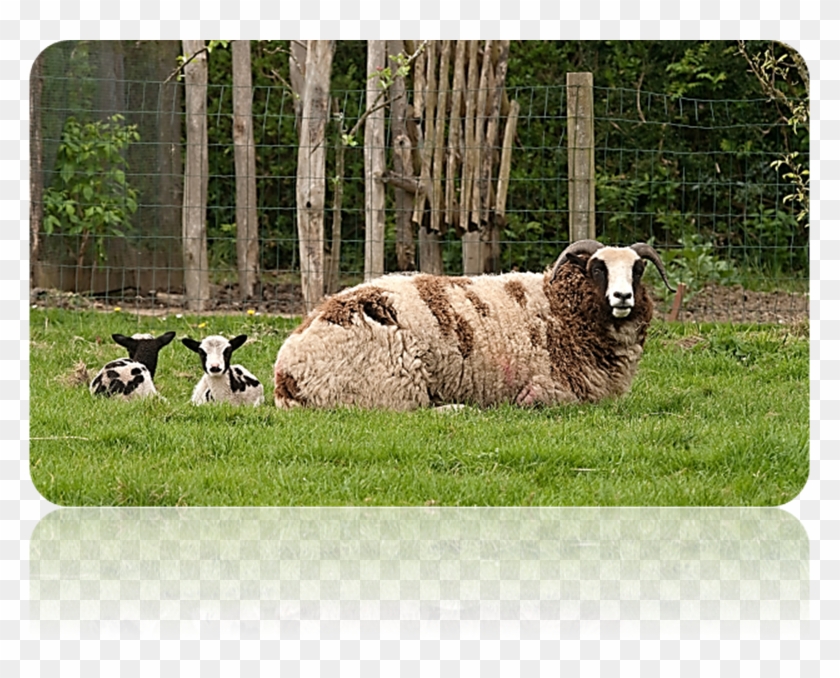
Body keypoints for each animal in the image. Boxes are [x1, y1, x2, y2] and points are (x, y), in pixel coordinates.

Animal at [273, 240, 675, 411]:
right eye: (597, 268)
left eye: (638, 270)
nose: (623, 297)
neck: (558, 309)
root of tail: (285, 373)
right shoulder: (557, 389)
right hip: (390, 386)